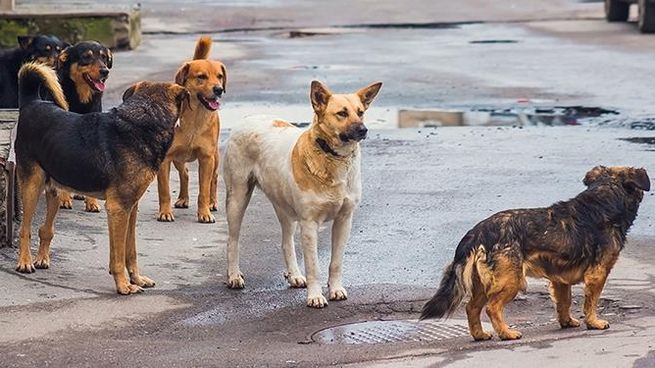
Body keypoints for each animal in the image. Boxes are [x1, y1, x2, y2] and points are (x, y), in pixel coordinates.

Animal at [15, 61, 190, 294]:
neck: (144, 120)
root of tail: (32, 102)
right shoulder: (118, 209)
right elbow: (118, 256)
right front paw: (123, 285)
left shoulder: (131, 208)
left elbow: (130, 251)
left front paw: (136, 278)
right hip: (32, 186)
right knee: (24, 229)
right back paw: (24, 262)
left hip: (55, 189)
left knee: (46, 229)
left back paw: (42, 258)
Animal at [56, 40, 114, 211]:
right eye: (86, 57)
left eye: (104, 57)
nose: (105, 71)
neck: (81, 99)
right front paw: (63, 198)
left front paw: (92, 202)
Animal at [156, 36, 226, 223]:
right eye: (201, 77)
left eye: (220, 76)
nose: (219, 89)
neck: (195, 118)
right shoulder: (165, 159)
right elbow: (164, 190)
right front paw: (165, 212)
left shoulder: (206, 158)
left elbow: (204, 190)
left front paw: (204, 213)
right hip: (178, 158)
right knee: (185, 173)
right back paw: (183, 198)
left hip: (215, 157)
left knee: (214, 178)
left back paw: (212, 202)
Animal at [223, 80, 382, 308]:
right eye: (342, 113)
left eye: (360, 112)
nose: (363, 130)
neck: (331, 157)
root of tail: (248, 118)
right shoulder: (309, 224)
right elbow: (313, 266)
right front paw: (315, 296)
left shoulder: (344, 220)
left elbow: (336, 262)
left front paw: (335, 289)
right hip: (237, 198)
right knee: (232, 240)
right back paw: (234, 275)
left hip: (285, 208)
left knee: (286, 242)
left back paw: (294, 275)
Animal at [420, 166, 652, 340]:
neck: (603, 199)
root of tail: (477, 232)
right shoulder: (598, 273)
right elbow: (591, 302)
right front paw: (594, 322)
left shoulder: (560, 279)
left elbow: (564, 302)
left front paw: (566, 322)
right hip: (511, 281)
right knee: (492, 308)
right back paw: (506, 333)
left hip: (483, 284)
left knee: (471, 308)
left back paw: (480, 335)